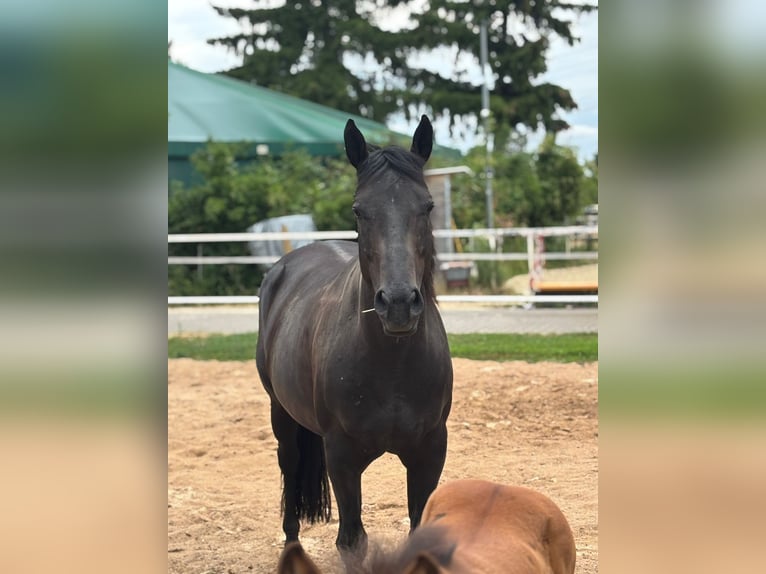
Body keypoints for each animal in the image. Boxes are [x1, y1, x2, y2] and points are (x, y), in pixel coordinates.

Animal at [255, 115, 453, 553]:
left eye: (427, 206)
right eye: (359, 210)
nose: (398, 303)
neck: (393, 365)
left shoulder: (429, 453)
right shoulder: (343, 459)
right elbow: (351, 540)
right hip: (281, 414)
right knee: (289, 471)